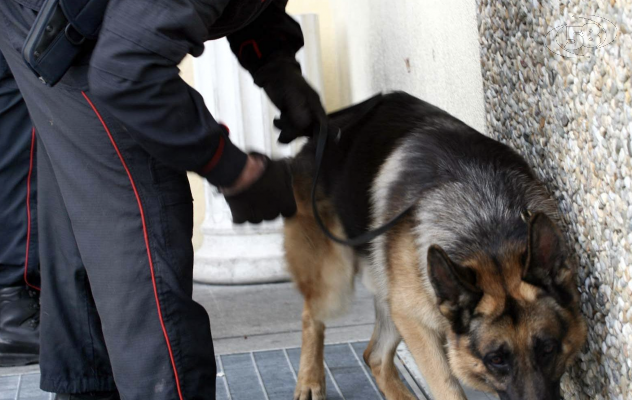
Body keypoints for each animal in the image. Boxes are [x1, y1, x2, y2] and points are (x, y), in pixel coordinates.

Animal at [282, 93, 588, 400]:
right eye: (496, 359)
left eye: (548, 348)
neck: (487, 227)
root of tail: (322, 130)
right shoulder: (416, 323)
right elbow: (447, 388)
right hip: (337, 278)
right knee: (311, 316)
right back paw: (309, 380)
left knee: (375, 357)